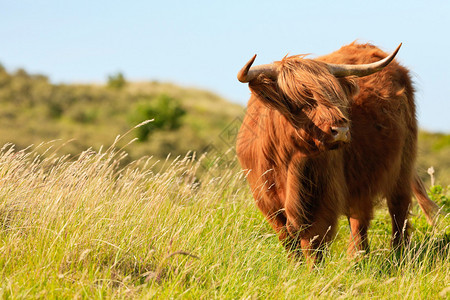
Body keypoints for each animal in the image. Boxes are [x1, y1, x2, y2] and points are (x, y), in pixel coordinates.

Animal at [236, 42, 440, 264]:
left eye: (335, 96)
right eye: (301, 99)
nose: (341, 130)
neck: (288, 162)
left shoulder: (322, 198)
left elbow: (313, 242)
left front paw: (313, 270)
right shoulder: (267, 202)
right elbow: (289, 242)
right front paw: (295, 267)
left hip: (402, 165)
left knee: (398, 211)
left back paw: (398, 255)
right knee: (360, 217)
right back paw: (357, 258)